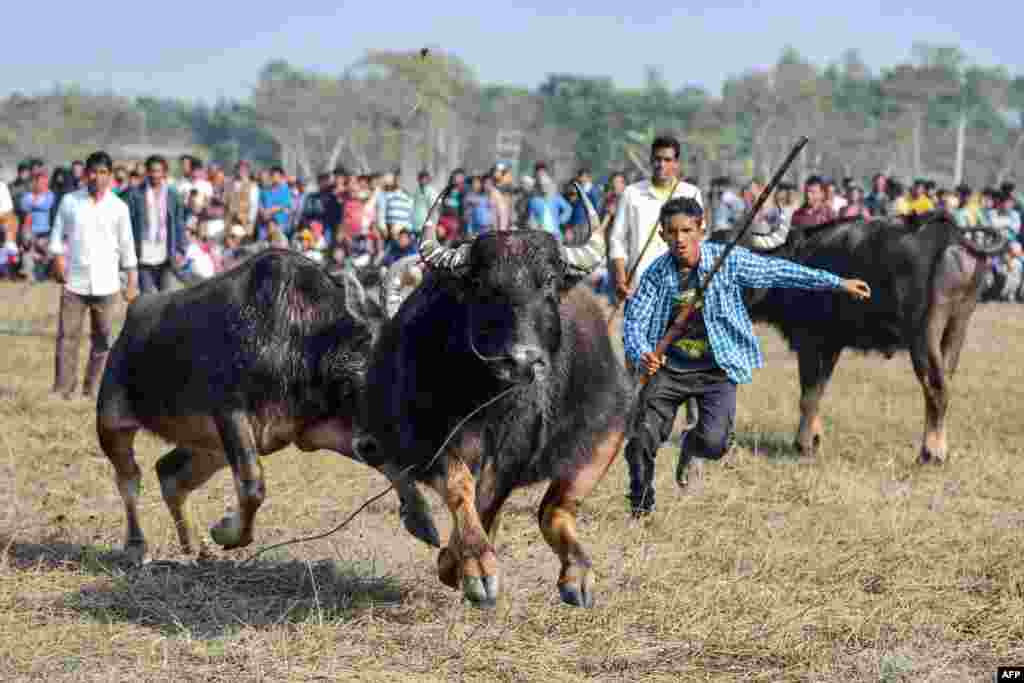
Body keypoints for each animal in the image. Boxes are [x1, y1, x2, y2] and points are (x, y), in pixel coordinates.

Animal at [92, 248, 436, 565]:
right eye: (372, 364)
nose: (375, 442)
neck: (304, 337)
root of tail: (132, 318)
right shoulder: (230, 414)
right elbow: (252, 485)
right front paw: (226, 533)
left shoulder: (314, 432)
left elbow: (392, 466)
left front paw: (422, 521)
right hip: (112, 423)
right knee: (129, 479)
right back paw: (136, 547)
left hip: (210, 449)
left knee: (169, 474)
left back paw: (196, 547)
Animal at [360, 193, 630, 610]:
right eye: (482, 285)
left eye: (549, 281)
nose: (521, 360)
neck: (490, 402)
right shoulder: (426, 438)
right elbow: (461, 486)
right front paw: (473, 566)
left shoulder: (516, 453)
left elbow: (489, 501)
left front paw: (460, 564)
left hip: (605, 434)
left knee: (554, 510)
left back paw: (577, 577)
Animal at [712, 214, 1007, 464]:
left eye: (736, 252)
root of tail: (952, 236)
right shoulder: (831, 344)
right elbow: (818, 390)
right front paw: (814, 439)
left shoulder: (811, 340)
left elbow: (808, 394)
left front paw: (803, 444)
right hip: (958, 326)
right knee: (945, 383)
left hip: (924, 332)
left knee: (936, 387)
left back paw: (931, 453)